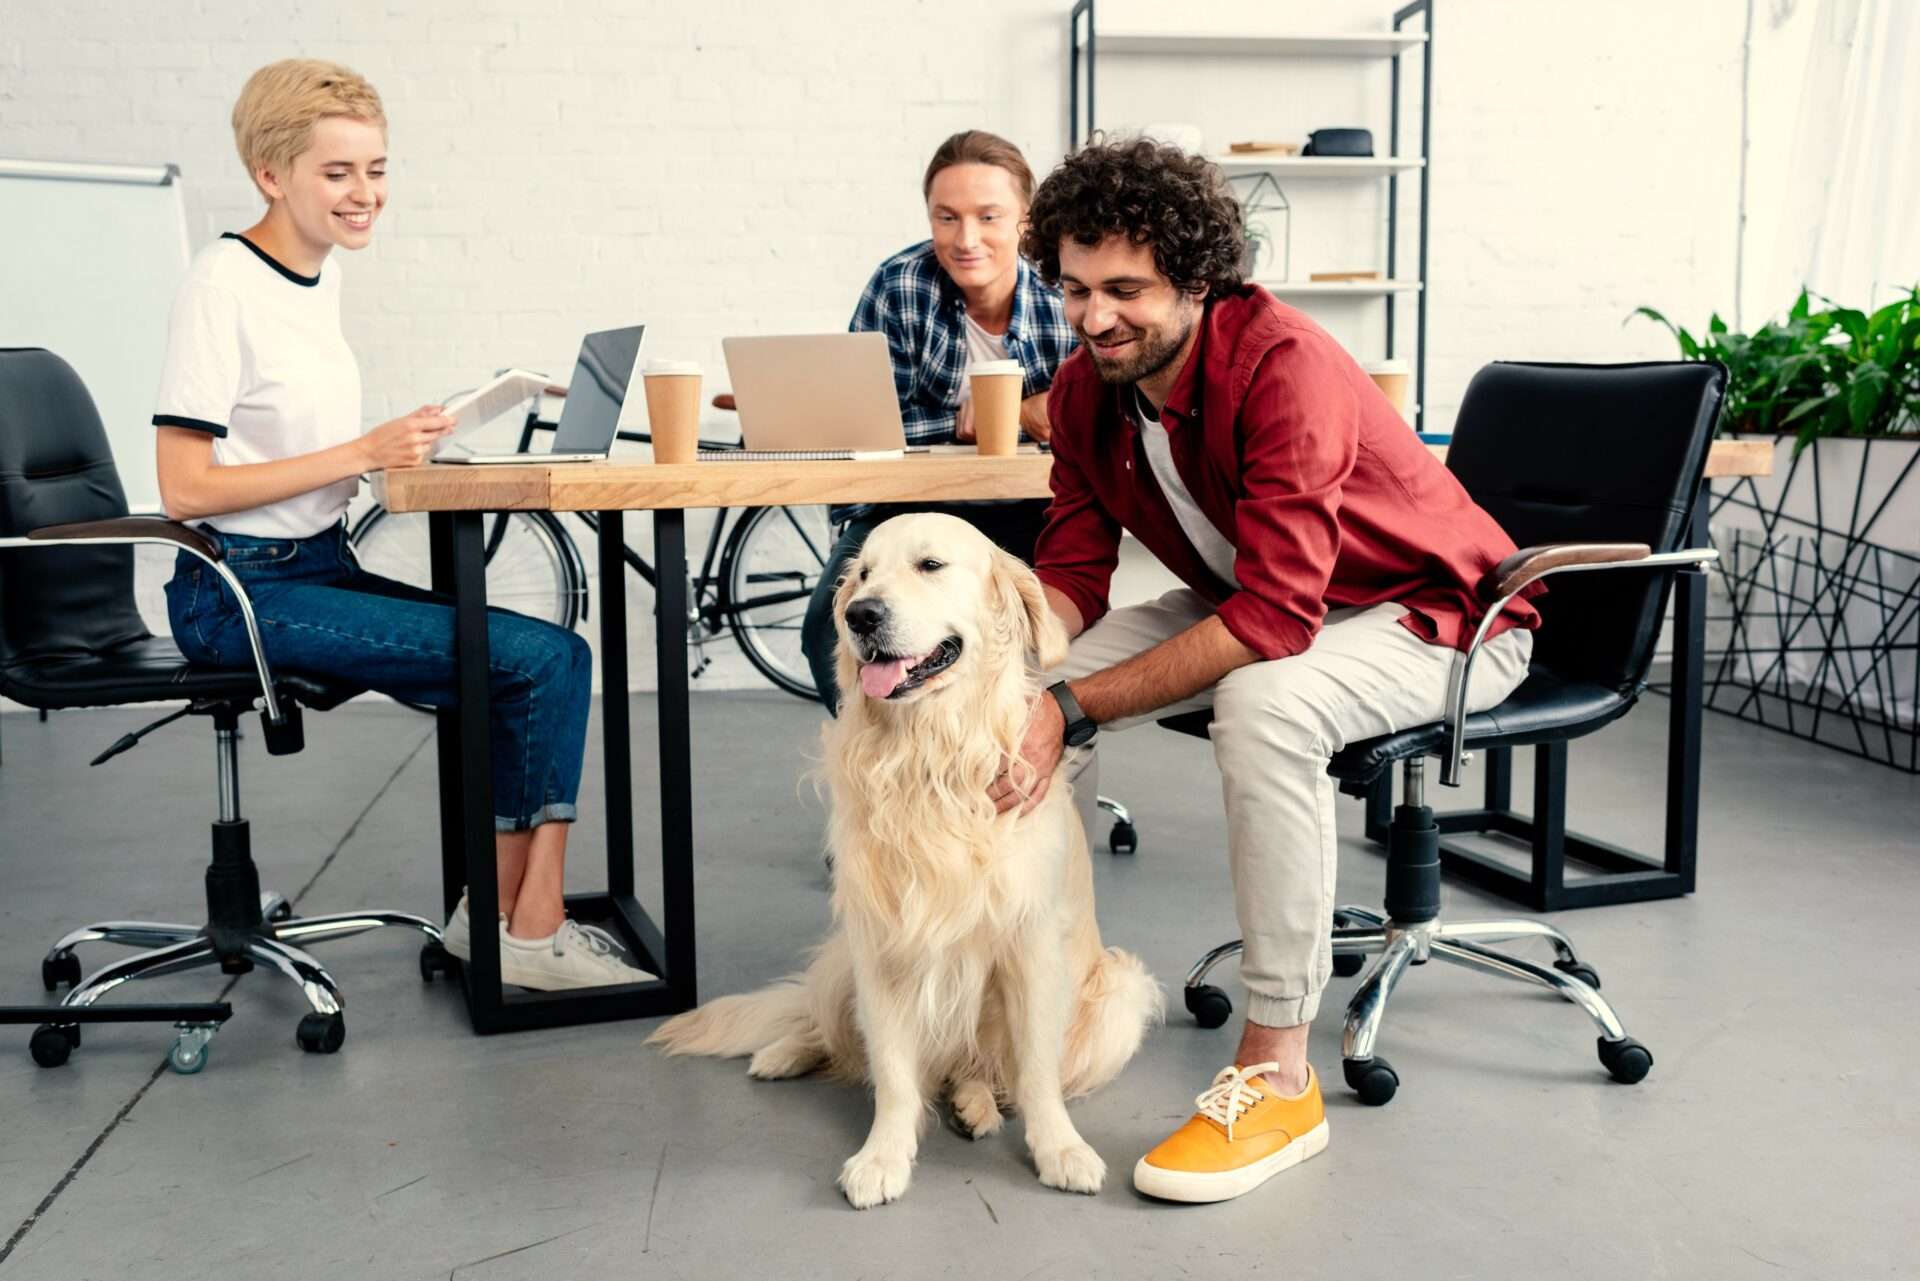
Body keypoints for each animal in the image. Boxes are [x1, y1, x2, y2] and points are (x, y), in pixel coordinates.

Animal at [648, 514, 1152, 1213]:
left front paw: (1060, 1149)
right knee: (824, 1023)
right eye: (862, 573)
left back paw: (976, 1103)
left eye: (930, 565)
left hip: (1120, 996)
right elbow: (889, 1070)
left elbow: (1036, 1071)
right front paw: (882, 1157)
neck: (929, 755)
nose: (860, 614)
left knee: (986, 1070)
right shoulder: (881, 943)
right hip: (843, 959)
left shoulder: (1031, 945)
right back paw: (783, 1052)